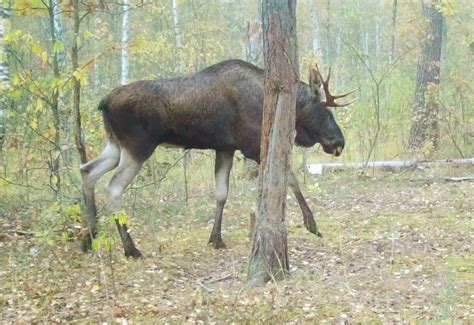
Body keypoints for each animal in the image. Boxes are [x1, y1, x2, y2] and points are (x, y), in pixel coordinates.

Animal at [80, 59, 352, 256]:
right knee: (113, 187)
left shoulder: (225, 148)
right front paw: (311, 223)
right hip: (138, 147)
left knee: (87, 171)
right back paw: (130, 248)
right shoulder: (253, 147)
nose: (339, 142)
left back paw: (89, 238)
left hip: (116, 146)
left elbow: (221, 193)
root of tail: (103, 102)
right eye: (325, 111)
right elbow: (290, 178)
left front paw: (216, 238)